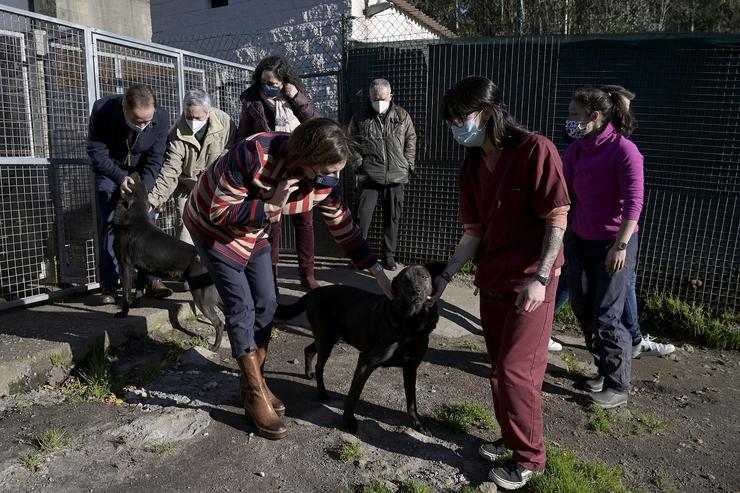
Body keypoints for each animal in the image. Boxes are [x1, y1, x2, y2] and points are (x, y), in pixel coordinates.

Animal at [111, 173, 224, 350]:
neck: (135, 217)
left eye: (135, 183)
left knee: (219, 323)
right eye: (142, 183)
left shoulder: (125, 265)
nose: (135, 173)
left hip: (202, 296)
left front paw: (123, 313)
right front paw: (136, 303)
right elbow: (139, 289)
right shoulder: (141, 269)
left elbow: (127, 292)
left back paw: (214, 347)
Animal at [274, 264, 442, 432]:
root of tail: (313, 292)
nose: (416, 291)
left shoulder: (411, 367)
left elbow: (411, 401)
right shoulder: (365, 362)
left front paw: (418, 423)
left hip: (328, 338)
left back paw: (308, 374)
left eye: (424, 277)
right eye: (405, 280)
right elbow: (353, 395)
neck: (410, 322)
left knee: (308, 350)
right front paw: (348, 421)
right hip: (326, 340)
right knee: (319, 366)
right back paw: (322, 394)